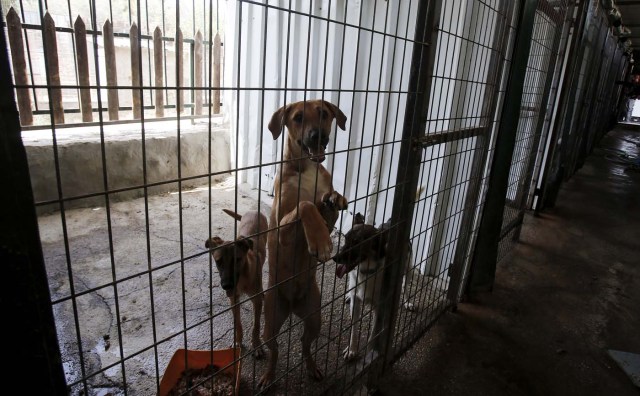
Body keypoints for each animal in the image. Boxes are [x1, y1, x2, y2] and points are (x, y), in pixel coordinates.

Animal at [204, 209, 266, 358]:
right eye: (218, 262)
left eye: (236, 260)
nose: (226, 286)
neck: (243, 278)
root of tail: (254, 210)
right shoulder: (233, 299)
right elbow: (237, 323)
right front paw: (238, 342)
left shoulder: (256, 300)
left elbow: (256, 326)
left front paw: (256, 345)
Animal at [258, 100, 350, 390]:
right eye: (298, 117)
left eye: (324, 114)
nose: (317, 136)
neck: (307, 169)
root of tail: (292, 305)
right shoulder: (281, 229)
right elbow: (306, 204)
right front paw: (319, 241)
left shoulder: (329, 216)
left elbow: (327, 201)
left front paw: (335, 198)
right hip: (270, 324)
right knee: (275, 352)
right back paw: (268, 376)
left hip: (314, 318)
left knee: (305, 345)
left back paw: (312, 368)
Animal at [332, 213, 418, 362]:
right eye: (346, 239)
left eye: (358, 243)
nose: (335, 258)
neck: (365, 273)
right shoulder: (356, 303)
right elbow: (354, 329)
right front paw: (352, 350)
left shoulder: (379, 307)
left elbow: (373, 335)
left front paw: (370, 355)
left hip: (408, 269)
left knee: (404, 286)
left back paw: (407, 302)